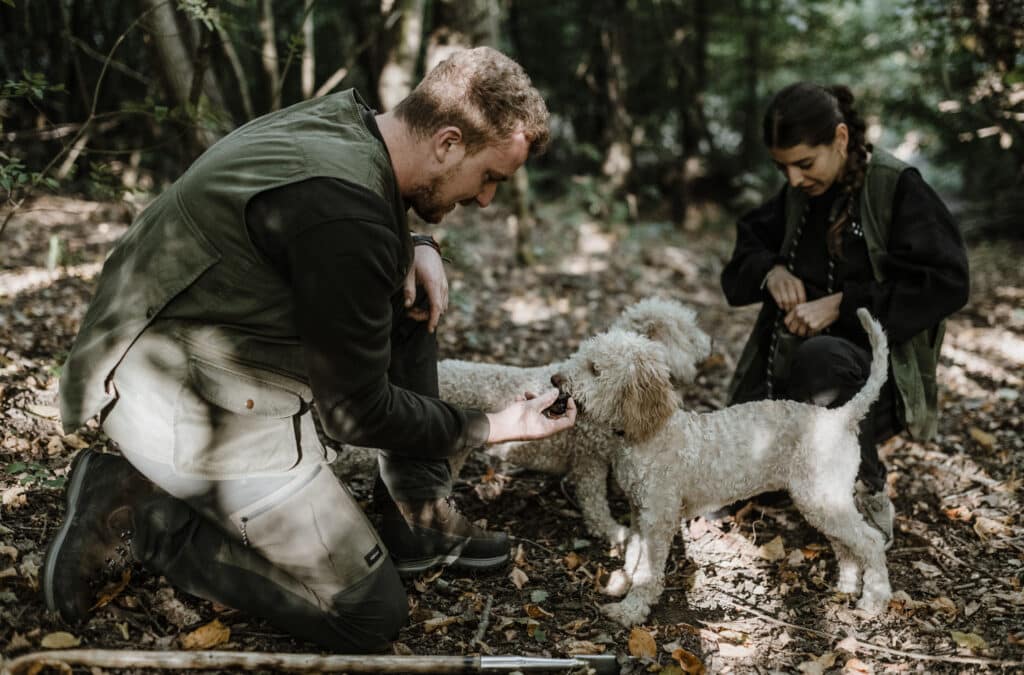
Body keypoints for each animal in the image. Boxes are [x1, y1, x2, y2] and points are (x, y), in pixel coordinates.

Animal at [440, 299, 712, 544]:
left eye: (594, 369)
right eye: (688, 332)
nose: (708, 342)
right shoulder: (589, 461)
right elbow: (595, 504)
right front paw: (612, 531)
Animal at [557, 309, 892, 626]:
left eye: (595, 369)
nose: (556, 380)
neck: (650, 433)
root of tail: (840, 416)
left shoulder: (657, 518)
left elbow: (647, 570)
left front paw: (632, 610)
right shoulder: (639, 511)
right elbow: (633, 556)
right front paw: (623, 584)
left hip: (821, 497)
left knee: (871, 541)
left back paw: (874, 599)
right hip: (823, 501)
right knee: (846, 545)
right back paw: (847, 585)